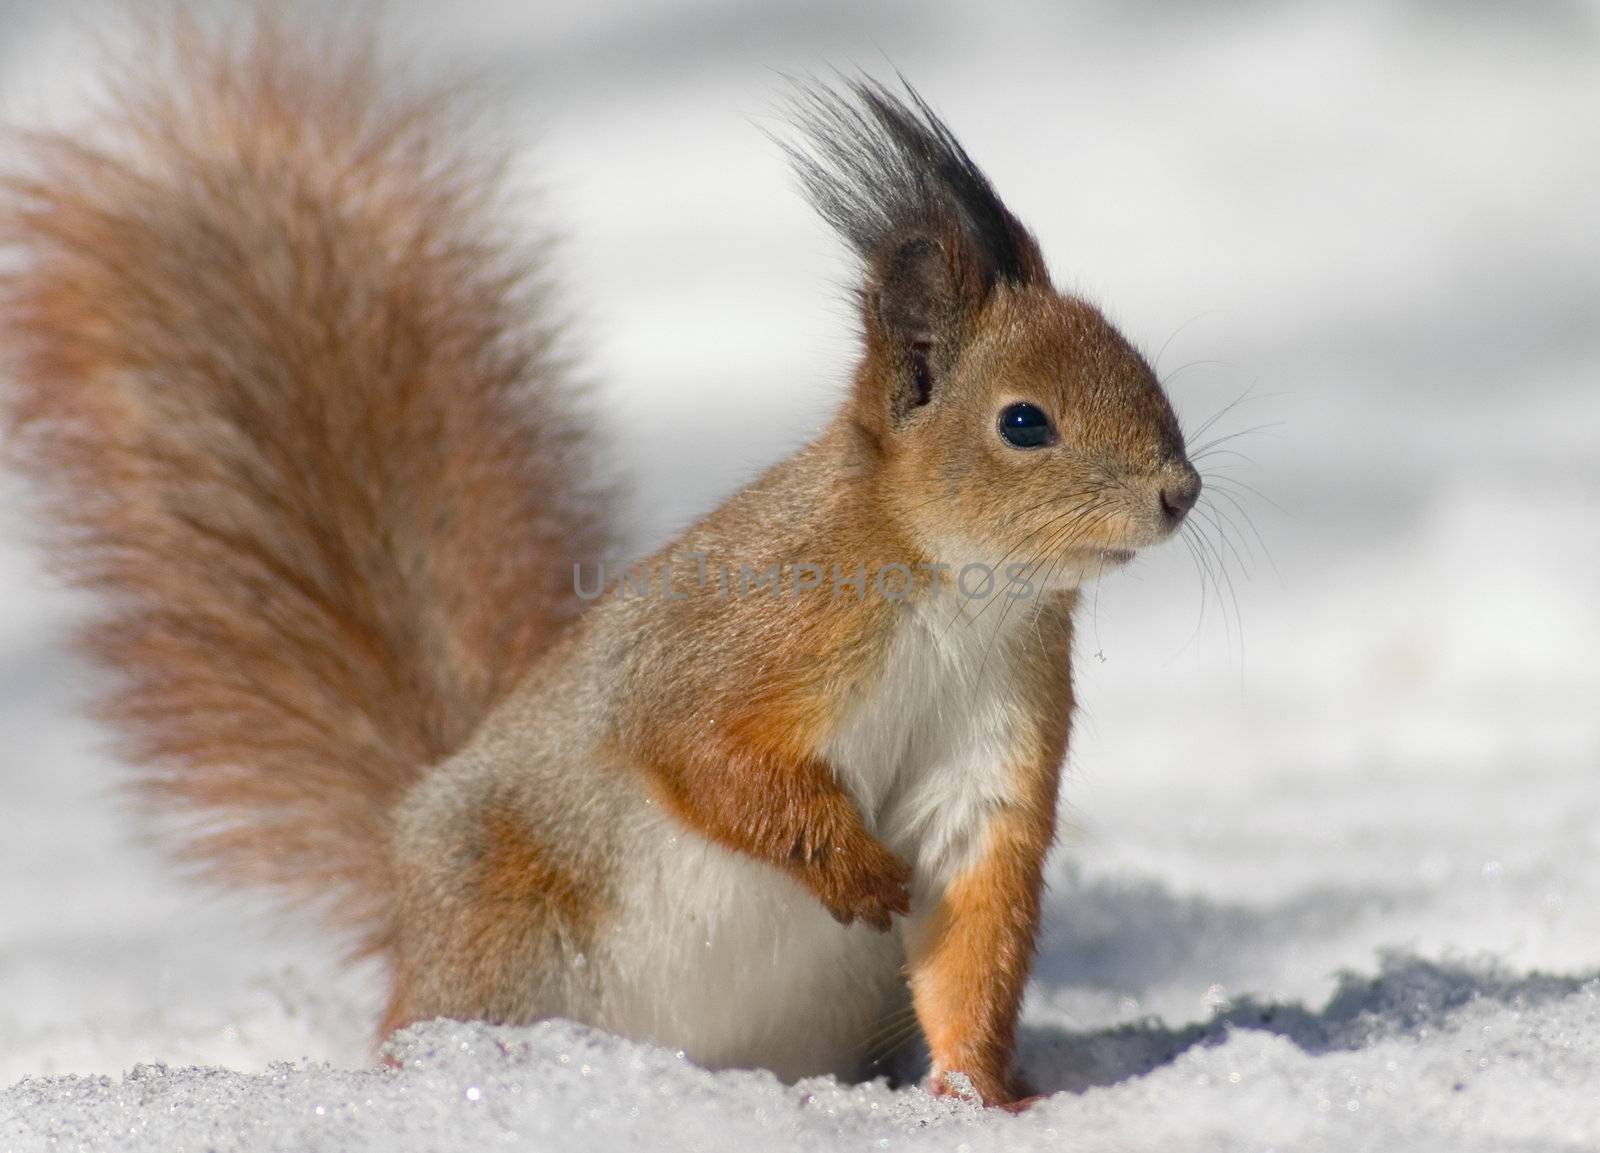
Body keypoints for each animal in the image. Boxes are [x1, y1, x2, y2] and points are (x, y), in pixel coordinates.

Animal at [0, 13, 1203, 1100]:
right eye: (1023, 423)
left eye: (1146, 370)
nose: (1178, 493)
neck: (958, 592)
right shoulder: (741, 634)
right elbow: (697, 749)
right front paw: (850, 865)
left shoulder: (994, 735)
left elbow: (971, 917)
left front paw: (978, 1094)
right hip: (506, 940)